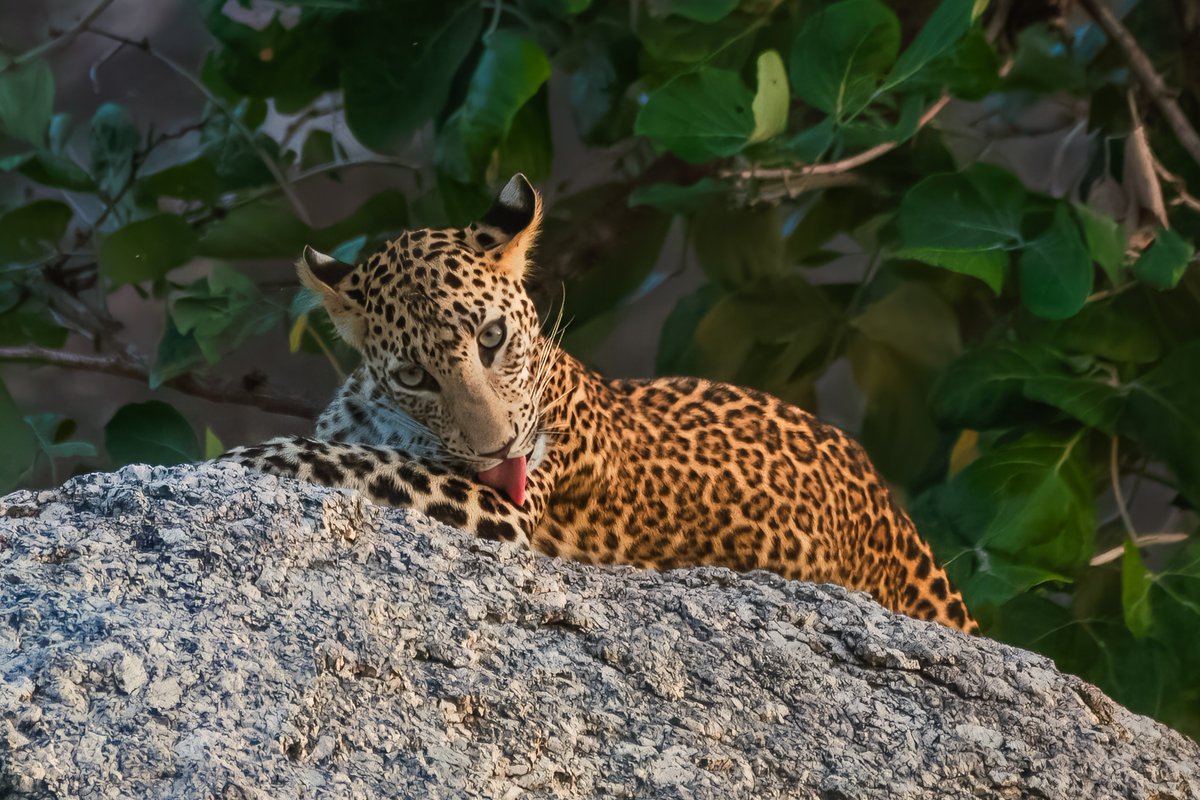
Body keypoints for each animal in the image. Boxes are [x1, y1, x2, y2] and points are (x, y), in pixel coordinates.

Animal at [223, 173, 978, 634]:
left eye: (491, 339)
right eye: (414, 375)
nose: (501, 446)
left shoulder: (505, 511)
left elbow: (352, 462)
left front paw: (248, 457)